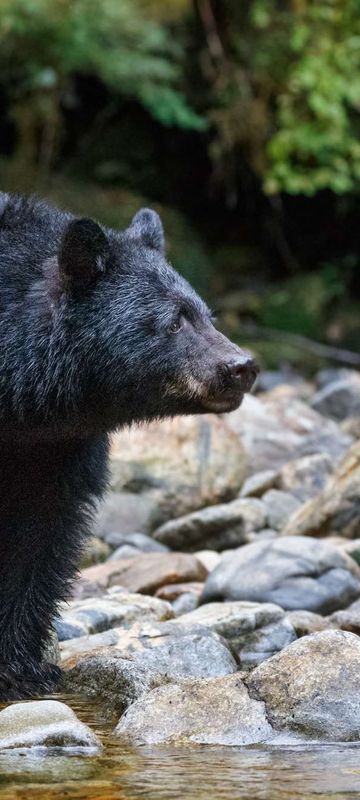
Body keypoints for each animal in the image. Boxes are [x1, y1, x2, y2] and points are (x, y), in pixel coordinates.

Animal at [0, 191, 258, 696]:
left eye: (206, 315)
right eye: (174, 321)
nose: (242, 366)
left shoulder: (55, 449)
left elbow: (39, 538)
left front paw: (21, 670)